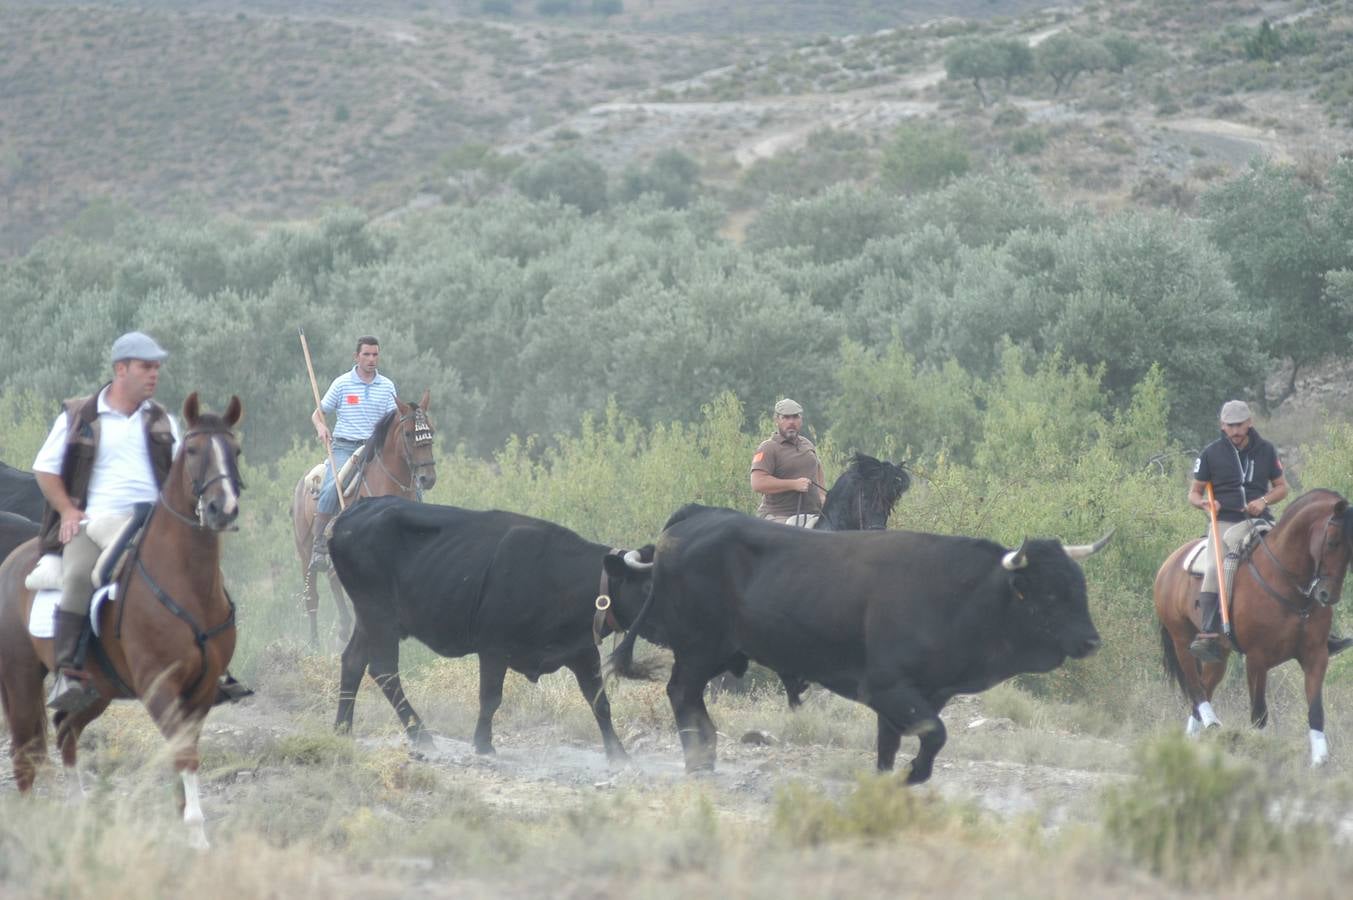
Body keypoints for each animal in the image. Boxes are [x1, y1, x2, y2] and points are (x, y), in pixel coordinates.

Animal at [0, 392, 243, 844]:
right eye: (193, 450)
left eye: (234, 450)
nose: (223, 509)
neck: (186, 582)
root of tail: (13, 562)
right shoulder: (160, 686)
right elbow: (183, 755)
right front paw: (196, 836)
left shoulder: (200, 692)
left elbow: (184, 755)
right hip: (20, 677)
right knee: (26, 754)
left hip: (98, 689)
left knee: (65, 730)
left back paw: (78, 812)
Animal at [289, 389, 432, 641]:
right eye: (407, 433)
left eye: (431, 431)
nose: (428, 478)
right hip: (304, 550)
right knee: (312, 597)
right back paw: (314, 643)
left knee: (334, 583)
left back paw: (344, 630)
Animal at [327, 495, 654, 763]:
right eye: (648, 585)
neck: (560, 577)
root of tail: (353, 512)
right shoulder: (494, 648)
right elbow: (491, 697)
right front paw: (483, 744)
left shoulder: (582, 652)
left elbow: (600, 702)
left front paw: (618, 754)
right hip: (378, 615)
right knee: (384, 670)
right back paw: (421, 735)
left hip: (370, 620)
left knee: (353, 661)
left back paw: (343, 729)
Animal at [614, 508, 1109, 784]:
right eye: (1049, 594)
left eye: (1079, 586)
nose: (1090, 641)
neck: (961, 593)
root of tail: (690, 522)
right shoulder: (889, 688)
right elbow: (935, 735)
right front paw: (913, 775)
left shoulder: (920, 697)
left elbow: (890, 745)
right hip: (698, 649)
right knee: (681, 693)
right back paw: (699, 759)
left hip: (713, 654)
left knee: (689, 697)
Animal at [1152, 487, 1353, 763]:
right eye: (1332, 542)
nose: (1327, 596)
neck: (1287, 583)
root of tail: (1170, 562)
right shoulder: (1257, 660)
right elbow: (1259, 714)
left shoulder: (1315, 656)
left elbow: (1316, 711)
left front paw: (1320, 762)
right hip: (1181, 639)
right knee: (1196, 688)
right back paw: (1211, 722)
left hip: (1219, 654)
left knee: (1204, 686)